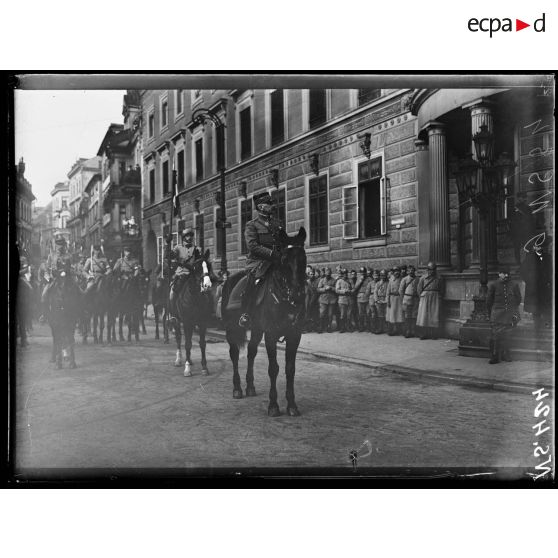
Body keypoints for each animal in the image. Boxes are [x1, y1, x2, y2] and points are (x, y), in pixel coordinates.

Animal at [221, 230, 306, 418]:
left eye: (303, 258)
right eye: (284, 259)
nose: (297, 295)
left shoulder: (294, 335)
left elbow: (290, 369)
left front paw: (292, 405)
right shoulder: (271, 335)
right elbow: (273, 369)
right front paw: (273, 406)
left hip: (256, 330)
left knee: (251, 352)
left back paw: (250, 387)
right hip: (231, 329)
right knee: (234, 354)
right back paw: (237, 389)